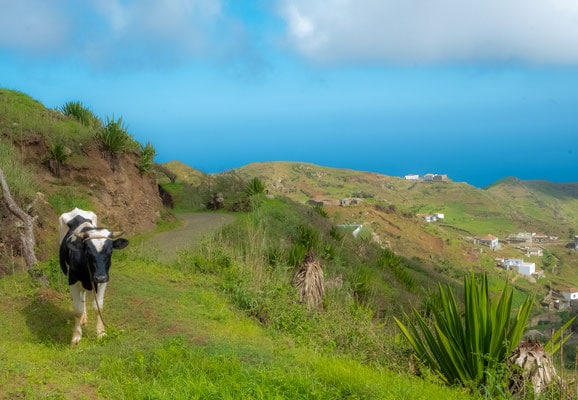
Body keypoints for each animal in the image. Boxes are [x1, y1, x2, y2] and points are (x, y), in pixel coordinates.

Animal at [58, 208, 128, 346]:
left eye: (111, 251)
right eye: (88, 251)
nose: (100, 277)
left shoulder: (103, 281)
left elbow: (98, 307)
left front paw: (101, 333)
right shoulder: (72, 280)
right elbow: (77, 310)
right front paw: (76, 336)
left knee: (83, 295)